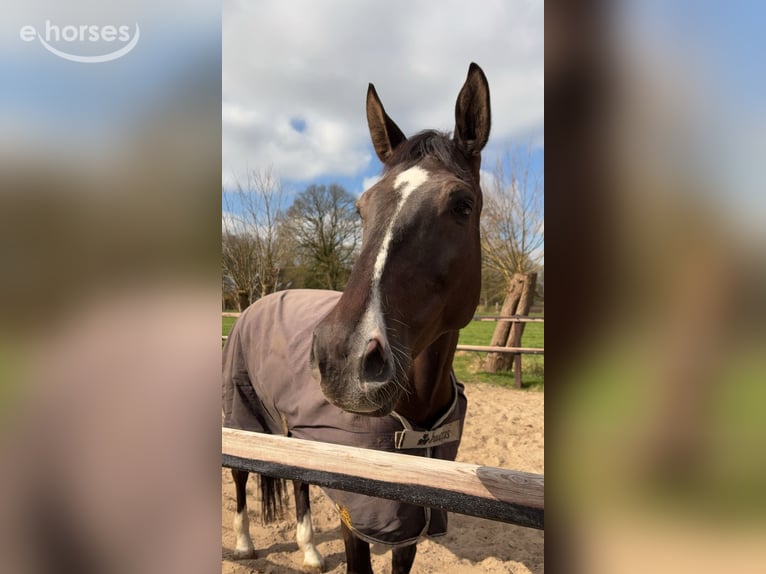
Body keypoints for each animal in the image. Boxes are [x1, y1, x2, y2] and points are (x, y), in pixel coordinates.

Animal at [222, 62, 491, 574]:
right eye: (361, 207)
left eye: (462, 205)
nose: (343, 358)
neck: (416, 425)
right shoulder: (357, 514)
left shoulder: (409, 525)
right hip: (243, 415)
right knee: (243, 474)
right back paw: (244, 544)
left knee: (299, 480)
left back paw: (309, 550)